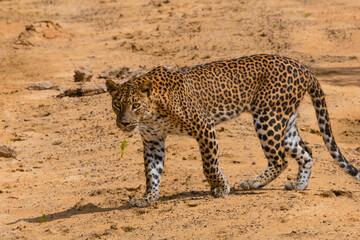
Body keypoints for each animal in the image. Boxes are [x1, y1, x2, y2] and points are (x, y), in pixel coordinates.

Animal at [105, 54, 358, 206]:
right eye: (117, 104)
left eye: (135, 105)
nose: (124, 123)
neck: (151, 113)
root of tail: (302, 67)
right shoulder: (153, 141)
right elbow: (152, 172)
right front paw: (148, 198)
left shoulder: (204, 126)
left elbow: (209, 164)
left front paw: (220, 188)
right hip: (284, 123)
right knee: (306, 152)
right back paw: (299, 185)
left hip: (268, 118)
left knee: (280, 159)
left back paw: (252, 183)